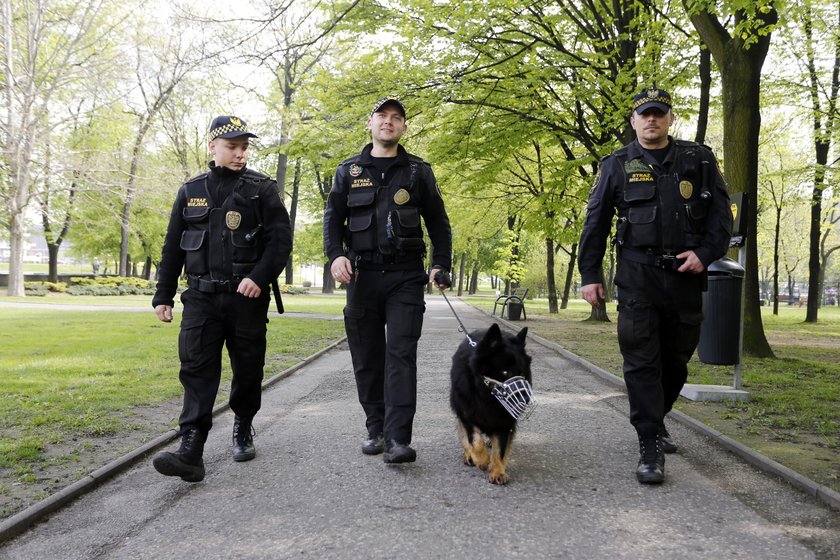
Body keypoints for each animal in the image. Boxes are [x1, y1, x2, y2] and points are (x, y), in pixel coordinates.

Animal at [446, 324, 532, 486]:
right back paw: (469, 455)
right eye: (505, 371)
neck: (485, 395)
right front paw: (483, 460)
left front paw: (498, 471)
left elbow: (501, 448)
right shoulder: (467, 415)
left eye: (522, 373)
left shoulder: (505, 421)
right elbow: (475, 441)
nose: (526, 399)